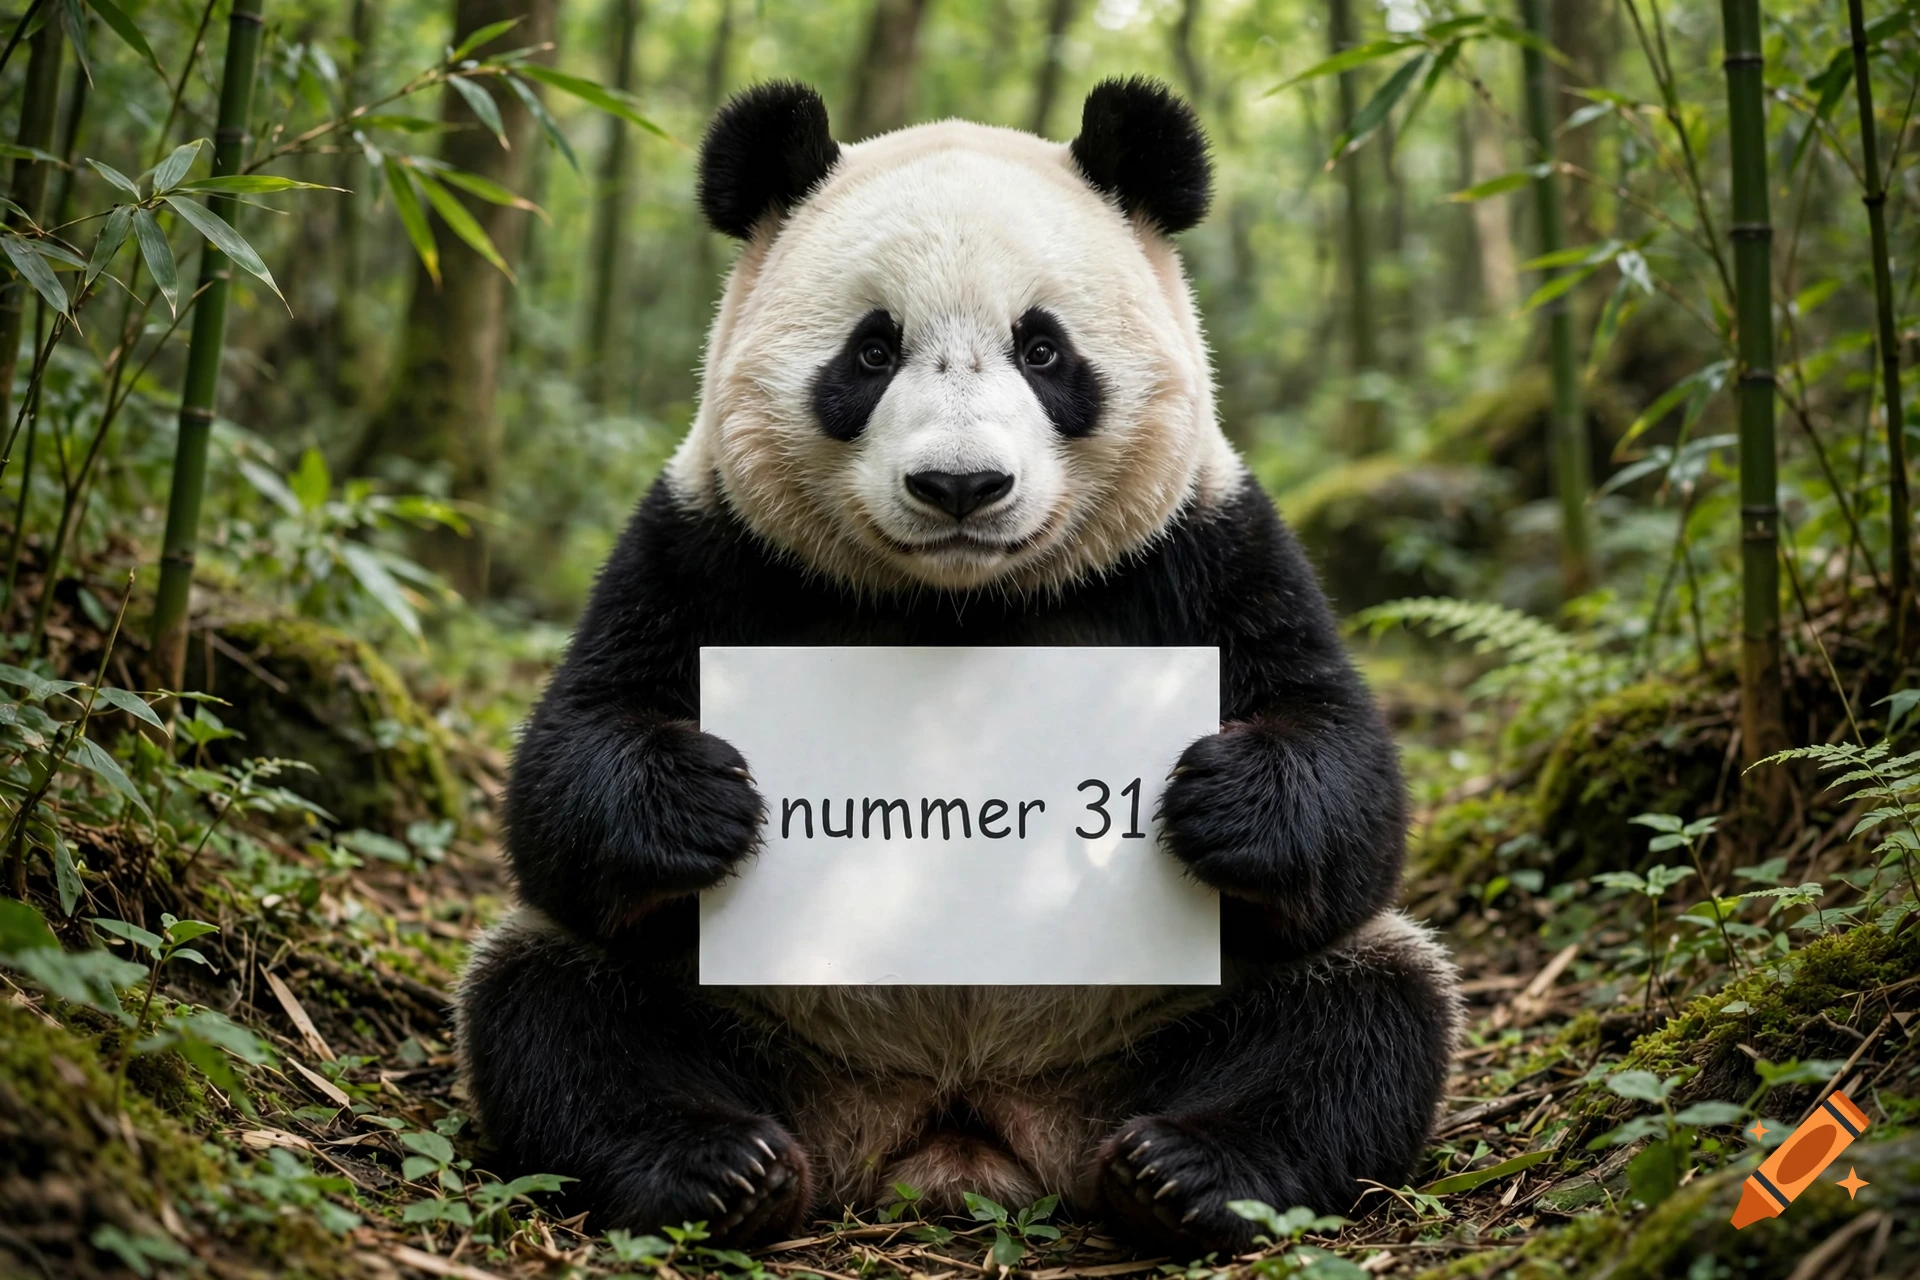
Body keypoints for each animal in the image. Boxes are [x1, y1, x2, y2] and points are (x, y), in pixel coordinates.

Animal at [457, 78, 1461, 1256]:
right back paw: (718, 1166)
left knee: (1368, 1006)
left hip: (1163, 1010)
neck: (960, 603)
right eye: (870, 350)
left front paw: (1219, 795)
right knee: (550, 999)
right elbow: (569, 763)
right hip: (751, 1010)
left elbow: (1346, 776)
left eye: (1044, 350)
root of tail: (961, 1117)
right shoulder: (709, 545)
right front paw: (702, 795)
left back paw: (1190, 1170)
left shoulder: (1206, 546)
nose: (960, 486)